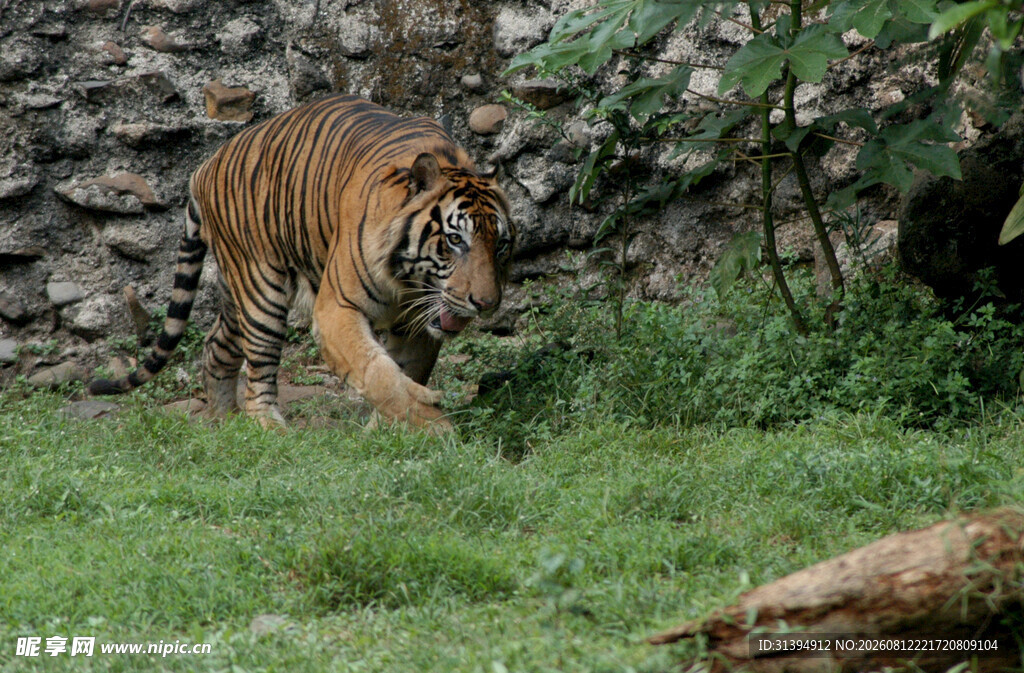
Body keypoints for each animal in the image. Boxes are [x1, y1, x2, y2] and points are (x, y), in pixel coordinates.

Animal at [88, 94, 515, 431]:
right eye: (455, 240)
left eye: (500, 246)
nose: (485, 304)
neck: (409, 280)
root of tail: (204, 167)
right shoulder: (337, 308)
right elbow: (378, 374)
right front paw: (433, 428)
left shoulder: (417, 323)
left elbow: (406, 372)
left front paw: (393, 428)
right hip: (260, 288)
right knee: (258, 369)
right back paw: (267, 427)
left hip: (234, 291)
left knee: (215, 346)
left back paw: (223, 420)